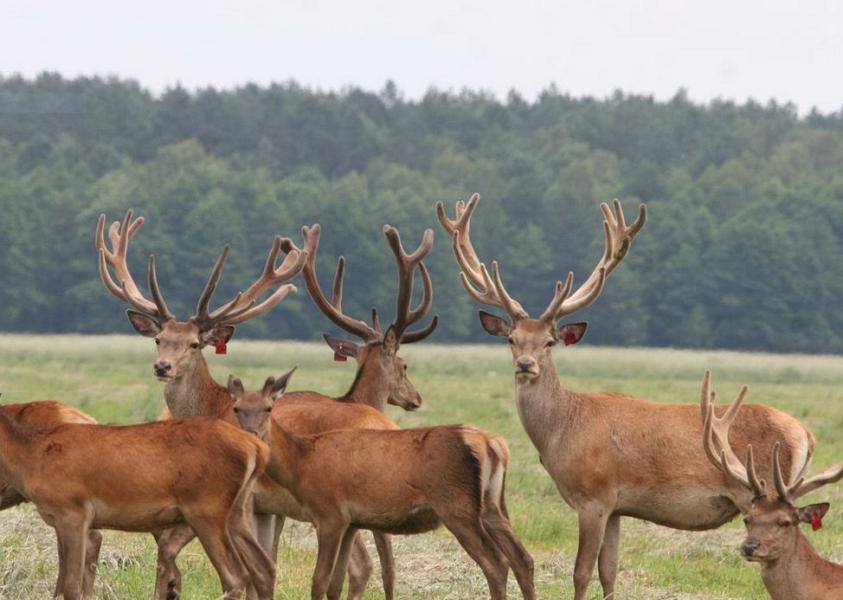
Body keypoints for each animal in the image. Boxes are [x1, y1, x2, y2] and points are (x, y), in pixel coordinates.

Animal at [442, 193, 816, 600]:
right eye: (512, 339)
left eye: (549, 342)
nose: (526, 364)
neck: (561, 429)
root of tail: (805, 435)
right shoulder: (618, 508)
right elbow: (609, 571)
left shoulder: (594, 496)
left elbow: (581, 572)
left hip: (762, 488)